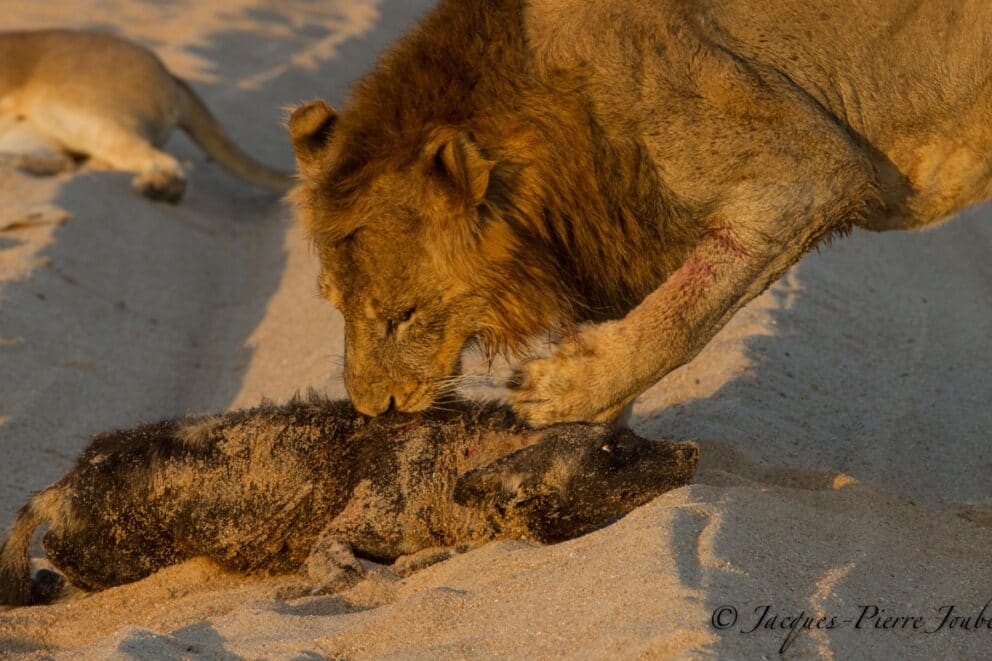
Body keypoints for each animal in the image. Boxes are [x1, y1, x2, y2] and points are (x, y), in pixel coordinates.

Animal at [0, 29, 291, 202]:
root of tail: (171, 75)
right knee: (63, 160)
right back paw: (21, 163)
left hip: (68, 111)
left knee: (167, 162)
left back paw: (157, 188)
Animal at [289, 0, 992, 425]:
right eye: (334, 306)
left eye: (402, 316)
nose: (373, 409)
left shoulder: (812, 170)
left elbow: (682, 317)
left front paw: (562, 391)